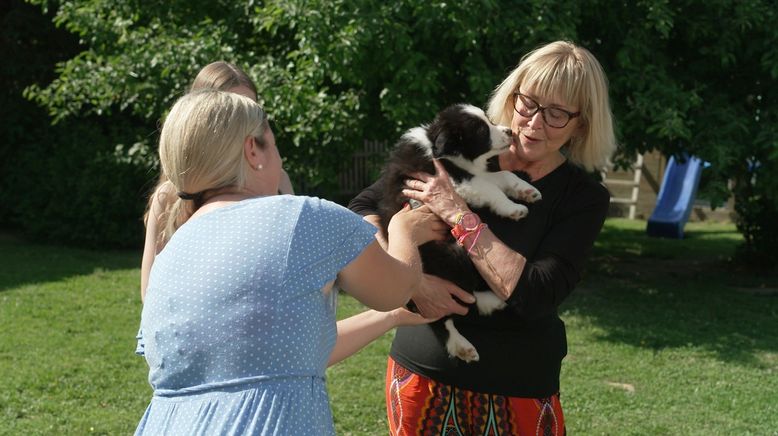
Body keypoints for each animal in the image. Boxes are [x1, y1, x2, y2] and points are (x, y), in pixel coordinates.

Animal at [378, 103, 540, 362]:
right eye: (482, 130)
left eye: (489, 120)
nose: (510, 132)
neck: (440, 147)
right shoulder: (453, 180)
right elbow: (490, 188)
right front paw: (514, 208)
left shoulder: (469, 173)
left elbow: (501, 175)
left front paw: (526, 190)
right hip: (453, 256)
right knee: (442, 314)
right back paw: (462, 344)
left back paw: (493, 301)